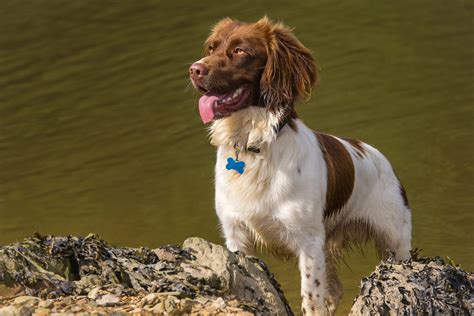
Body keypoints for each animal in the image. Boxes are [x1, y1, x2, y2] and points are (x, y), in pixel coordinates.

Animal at [189, 17, 412, 316]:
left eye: (239, 51)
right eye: (212, 47)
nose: (194, 69)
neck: (255, 146)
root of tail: (378, 156)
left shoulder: (309, 243)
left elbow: (311, 298)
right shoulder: (237, 237)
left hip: (396, 243)